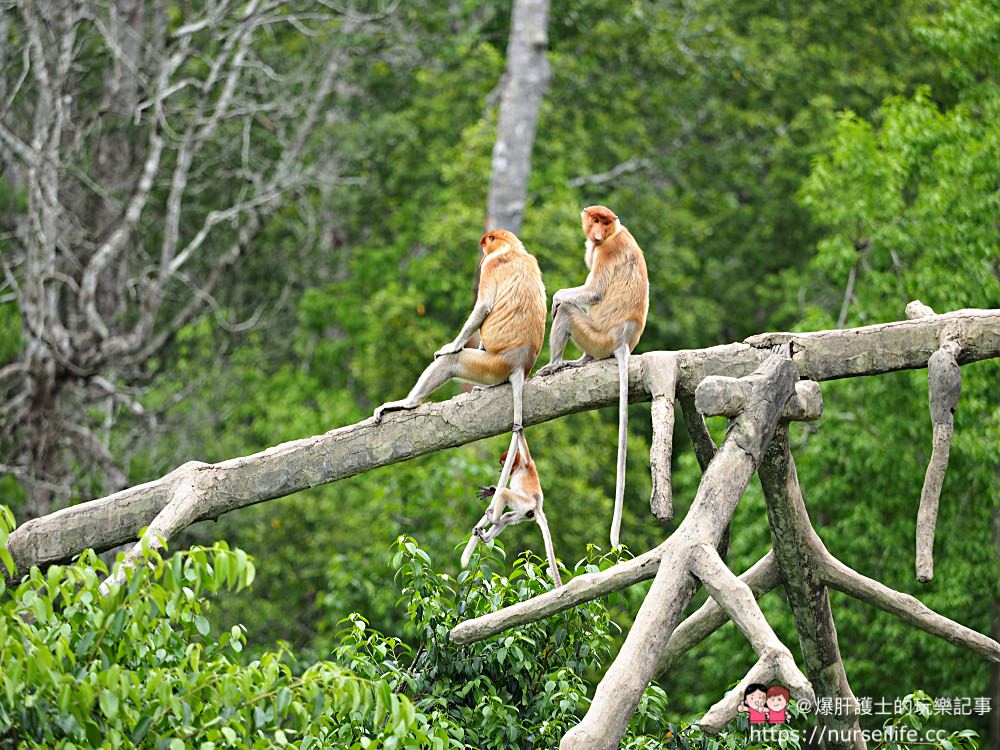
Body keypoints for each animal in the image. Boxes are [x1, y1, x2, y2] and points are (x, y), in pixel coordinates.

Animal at [376, 228, 548, 500]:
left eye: (485, 246)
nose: (481, 256)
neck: (511, 250)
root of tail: (521, 365)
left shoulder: (490, 267)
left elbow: (483, 307)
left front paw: (451, 346)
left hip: (492, 365)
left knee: (452, 362)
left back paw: (407, 403)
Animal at [460, 432, 564, 592]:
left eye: (502, 464)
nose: (500, 470)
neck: (518, 467)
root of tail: (537, 506)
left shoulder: (527, 464)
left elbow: (527, 457)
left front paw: (519, 431)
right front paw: (491, 491)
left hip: (524, 503)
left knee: (504, 493)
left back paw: (493, 517)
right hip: (525, 513)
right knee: (507, 518)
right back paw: (487, 537)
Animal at [540, 204, 648, 548]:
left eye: (605, 222)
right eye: (595, 220)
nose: (597, 233)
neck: (613, 236)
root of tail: (622, 341)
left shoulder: (606, 252)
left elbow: (593, 292)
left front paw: (557, 296)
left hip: (596, 336)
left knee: (568, 312)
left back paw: (556, 363)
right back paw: (579, 362)